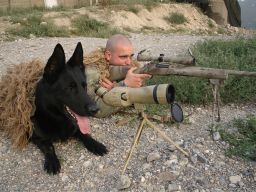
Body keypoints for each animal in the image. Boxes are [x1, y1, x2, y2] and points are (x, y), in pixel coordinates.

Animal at [30, 42, 107, 174]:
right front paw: (52, 161)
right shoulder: (36, 137)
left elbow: (84, 134)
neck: (56, 118)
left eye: (84, 86)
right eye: (70, 88)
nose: (95, 109)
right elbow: (49, 146)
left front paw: (95, 144)